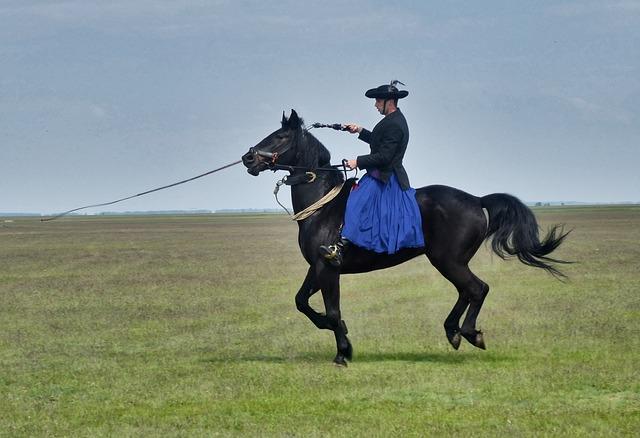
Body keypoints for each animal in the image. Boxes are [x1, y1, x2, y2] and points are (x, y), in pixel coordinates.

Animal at [241, 108, 568, 366]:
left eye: (280, 137)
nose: (248, 158)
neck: (324, 206)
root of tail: (477, 200)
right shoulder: (317, 266)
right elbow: (302, 302)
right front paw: (342, 336)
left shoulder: (328, 268)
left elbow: (332, 311)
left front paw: (343, 352)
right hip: (451, 262)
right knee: (467, 291)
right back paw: (453, 331)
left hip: (448, 261)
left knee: (477, 289)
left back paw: (469, 334)